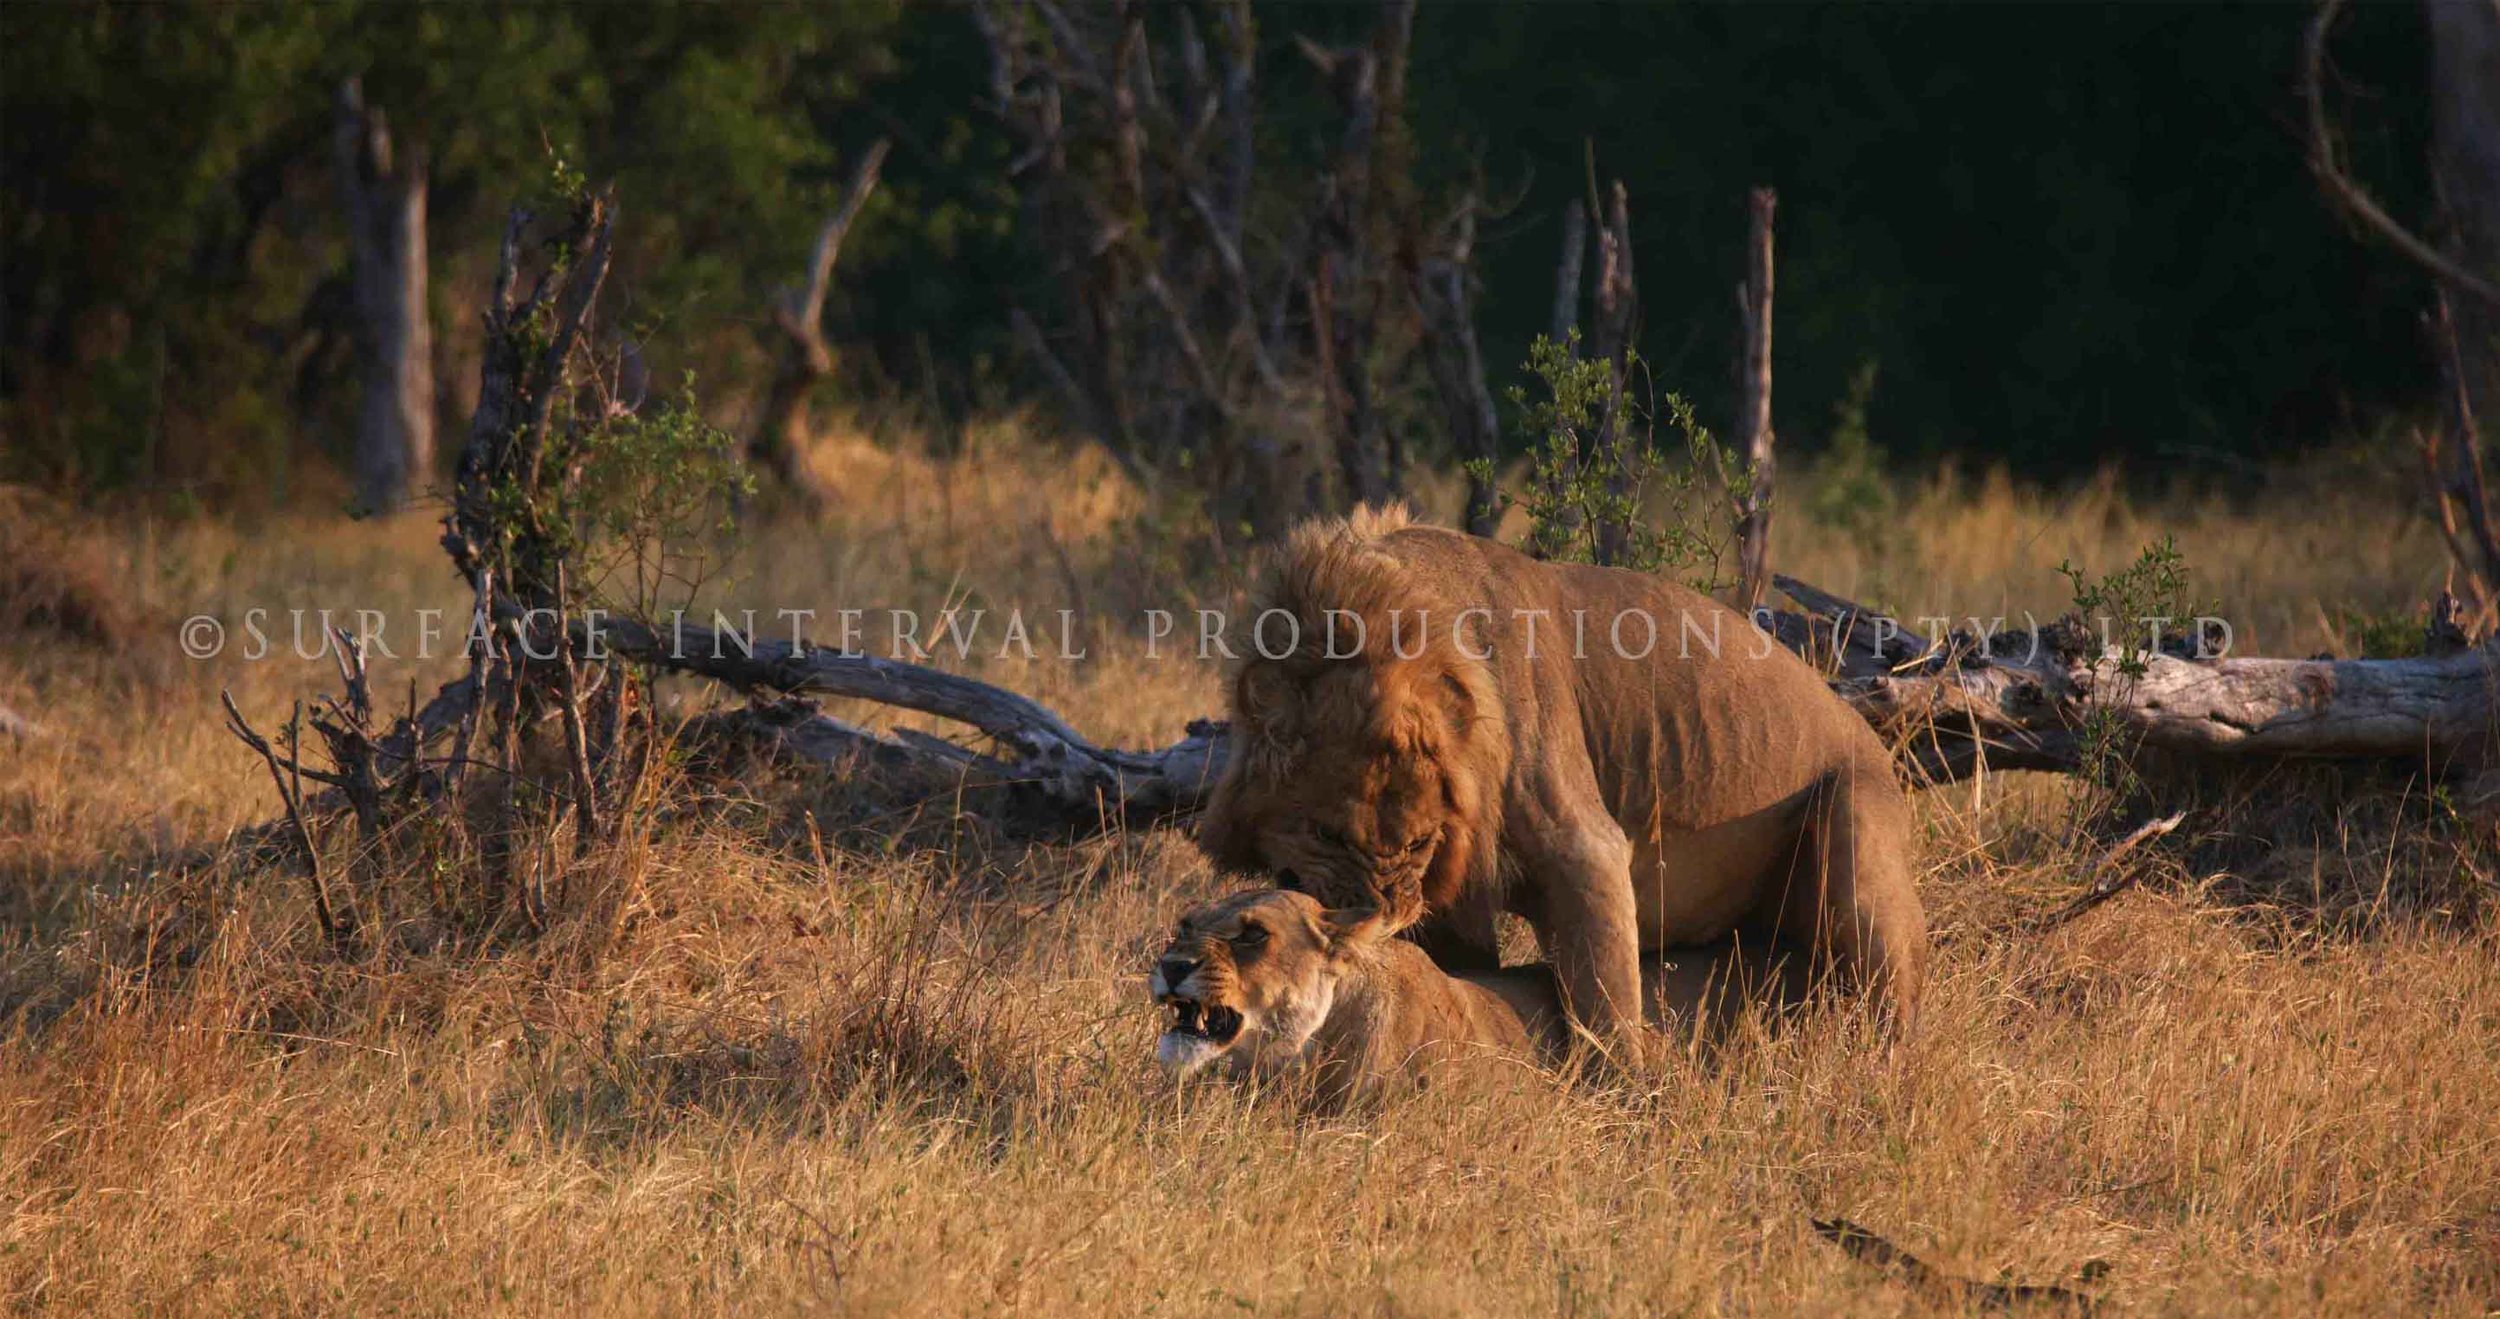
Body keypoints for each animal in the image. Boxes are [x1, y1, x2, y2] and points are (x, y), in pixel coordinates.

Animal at [1196, 506, 1927, 1061]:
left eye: (1417, 843)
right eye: (1325, 832)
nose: (1377, 910)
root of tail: (1870, 736)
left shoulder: (1584, 846)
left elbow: (1606, 1002)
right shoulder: (1452, 894)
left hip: (1859, 841)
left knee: (1891, 998)